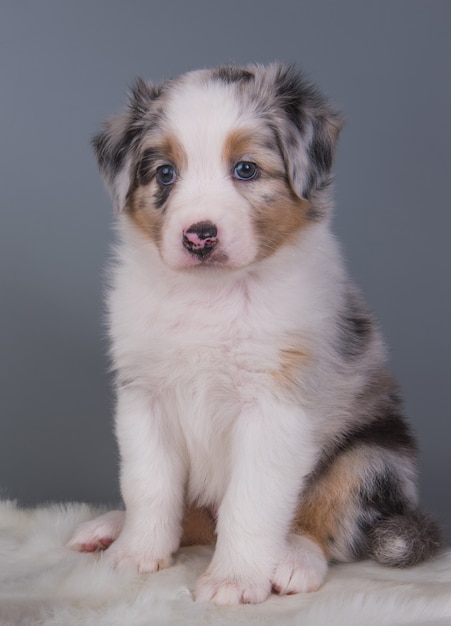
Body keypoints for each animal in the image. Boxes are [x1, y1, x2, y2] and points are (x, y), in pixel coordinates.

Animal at [68, 64, 442, 604]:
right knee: (193, 518)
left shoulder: (275, 405)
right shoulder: (143, 396)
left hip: (374, 452)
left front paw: (234, 580)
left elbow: (251, 500)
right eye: (165, 173)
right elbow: (148, 483)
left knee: (326, 517)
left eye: (245, 169)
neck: (210, 294)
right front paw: (135, 554)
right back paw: (108, 530)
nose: (199, 236)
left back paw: (293, 561)